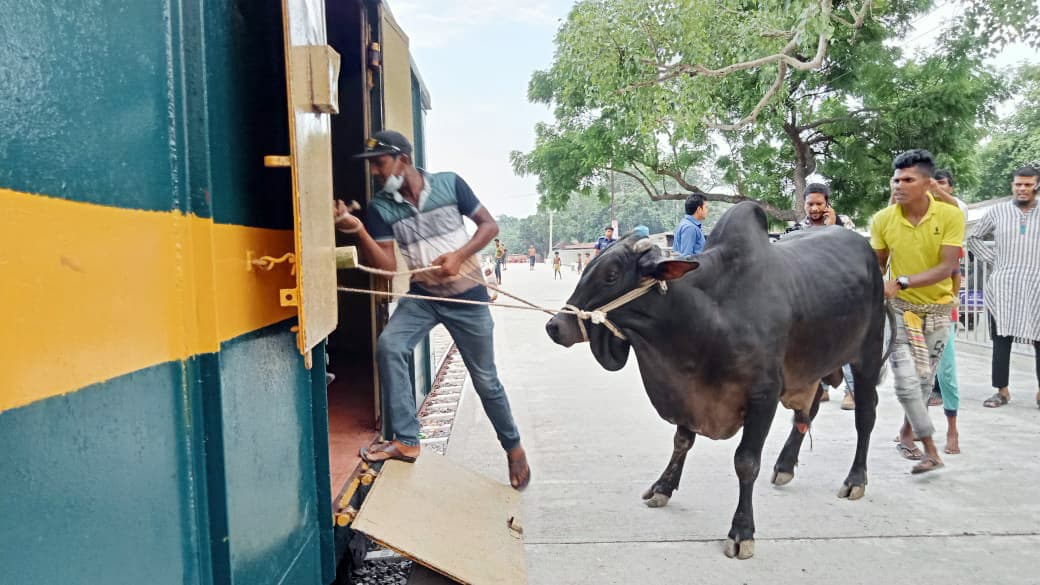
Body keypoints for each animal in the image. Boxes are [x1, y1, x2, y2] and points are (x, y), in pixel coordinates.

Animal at [544, 202, 894, 557]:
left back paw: (855, 480)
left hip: (865, 355)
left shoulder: (763, 396)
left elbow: (746, 462)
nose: (555, 326)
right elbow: (682, 441)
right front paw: (663, 487)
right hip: (812, 365)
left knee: (865, 415)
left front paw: (742, 531)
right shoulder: (689, 393)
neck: (709, 315)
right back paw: (785, 466)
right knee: (807, 412)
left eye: (611, 275)